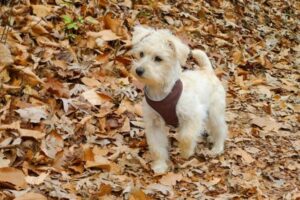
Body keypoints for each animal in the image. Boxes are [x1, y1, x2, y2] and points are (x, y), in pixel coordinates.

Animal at [130, 26, 226, 173]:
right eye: (141, 54)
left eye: (158, 58)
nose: (139, 70)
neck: (162, 93)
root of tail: (207, 71)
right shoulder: (154, 125)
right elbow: (157, 147)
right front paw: (159, 166)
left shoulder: (193, 115)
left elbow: (186, 136)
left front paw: (186, 152)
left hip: (215, 112)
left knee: (221, 129)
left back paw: (217, 147)